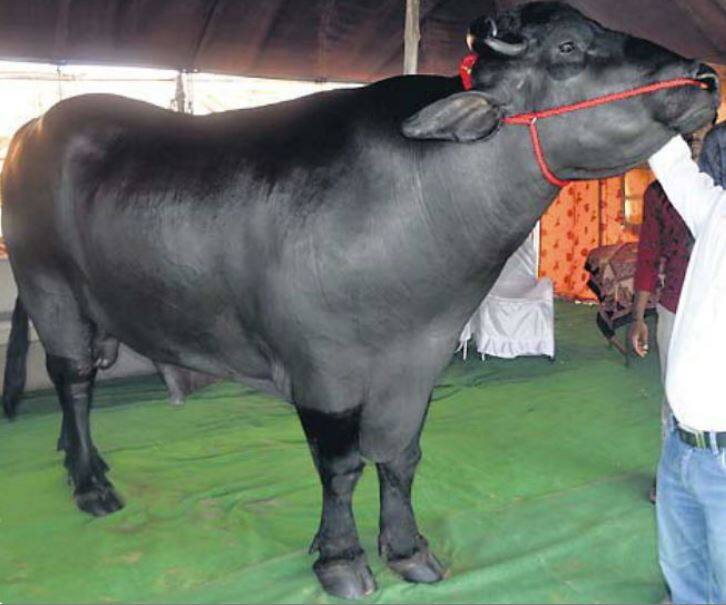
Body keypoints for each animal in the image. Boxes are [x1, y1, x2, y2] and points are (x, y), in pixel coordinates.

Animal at [0, 2, 719, 598]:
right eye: (569, 46)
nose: (705, 76)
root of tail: (32, 128)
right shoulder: (325, 371)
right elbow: (341, 466)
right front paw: (341, 558)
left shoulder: (419, 361)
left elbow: (401, 457)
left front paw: (408, 549)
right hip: (47, 287)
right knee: (72, 378)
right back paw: (92, 484)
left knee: (81, 378)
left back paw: (81, 459)